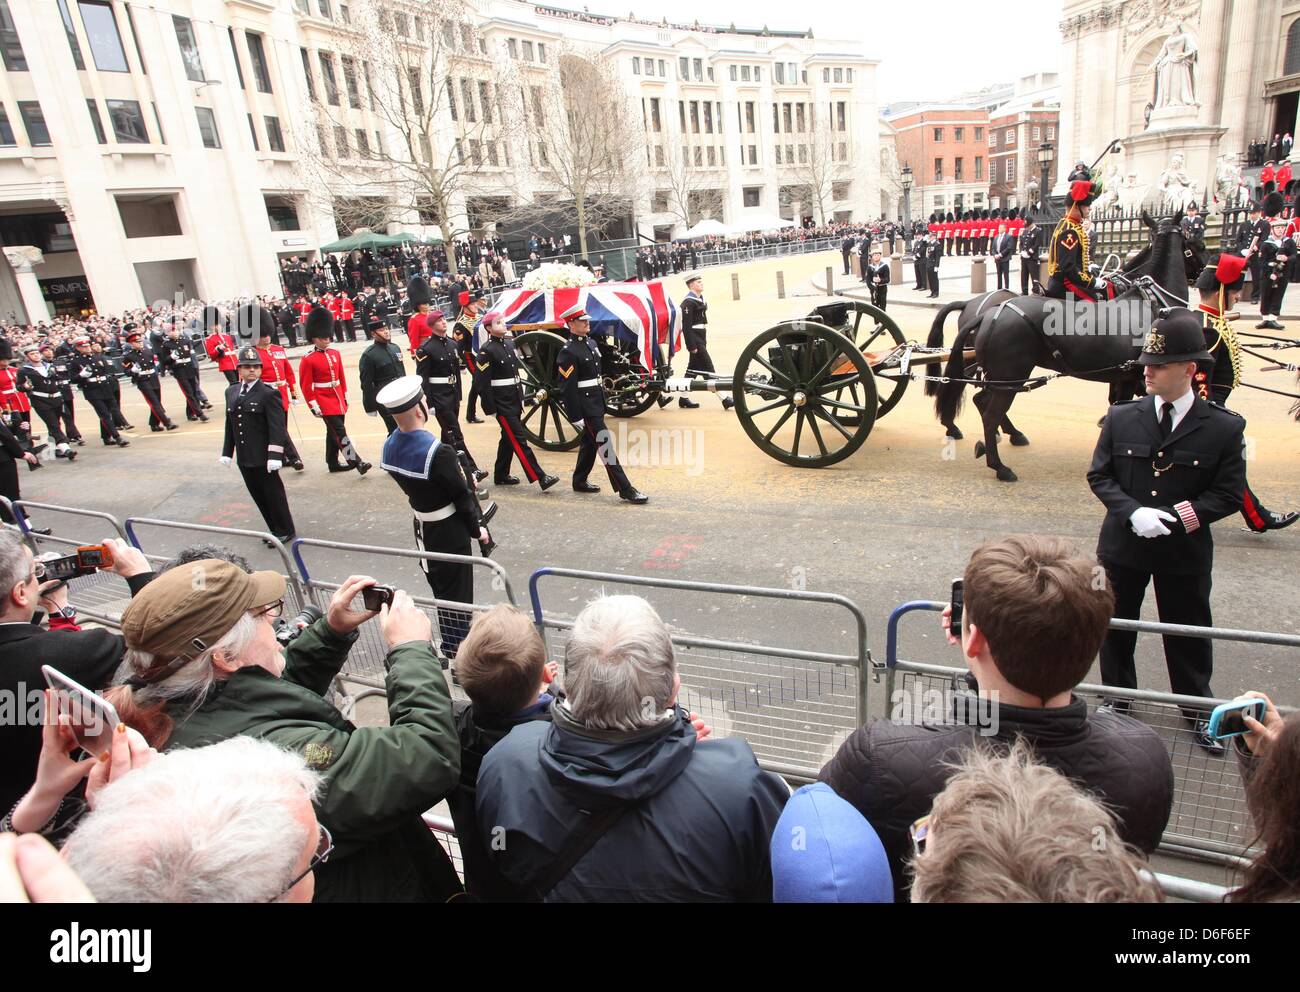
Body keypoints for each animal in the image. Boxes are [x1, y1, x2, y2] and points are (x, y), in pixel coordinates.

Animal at [935, 211, 1196, 483]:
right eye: (1191, 239)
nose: (1202, 272)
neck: (1149, 302)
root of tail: (985, 311)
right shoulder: (1131, 375)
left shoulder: (1125, 375)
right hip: (1009, 375)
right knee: (988, 411)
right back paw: (999, 464)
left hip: (997, 373)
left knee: (978, 396)